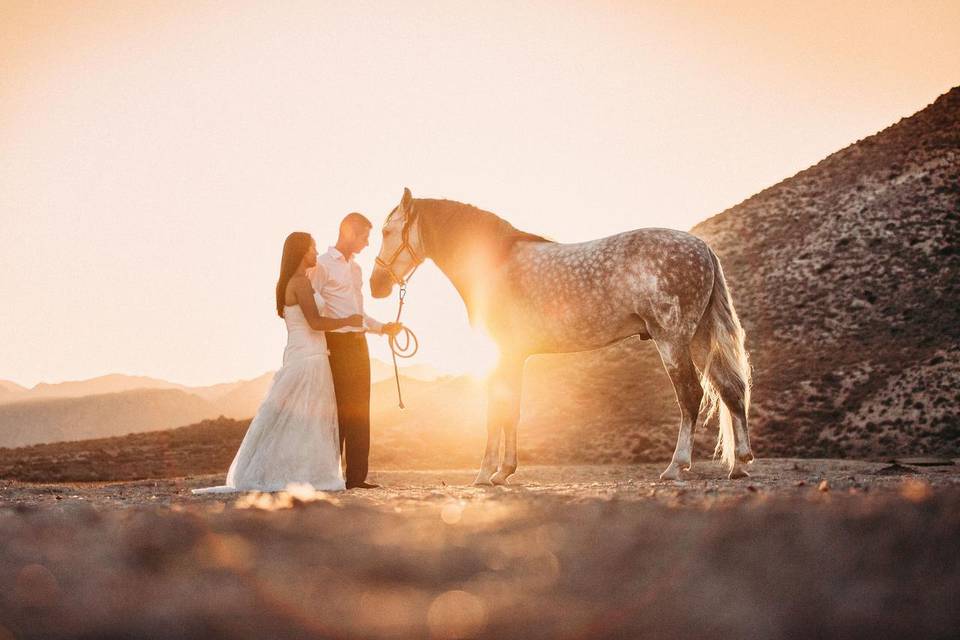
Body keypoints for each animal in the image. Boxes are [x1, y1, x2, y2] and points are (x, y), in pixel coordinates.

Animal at [372, 188, 752, 482]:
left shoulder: (500, 354)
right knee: (730, 389)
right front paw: (504, 471)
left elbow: (497, 410)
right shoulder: (514, 356)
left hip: (672, 341)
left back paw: (676, 466)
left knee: (690, 396)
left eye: (388, 231)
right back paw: (740, 464)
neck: (495, 264)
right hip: (699, 339)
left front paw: (485, 474)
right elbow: (512, 410)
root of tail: (703, 248)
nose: (377, 285)